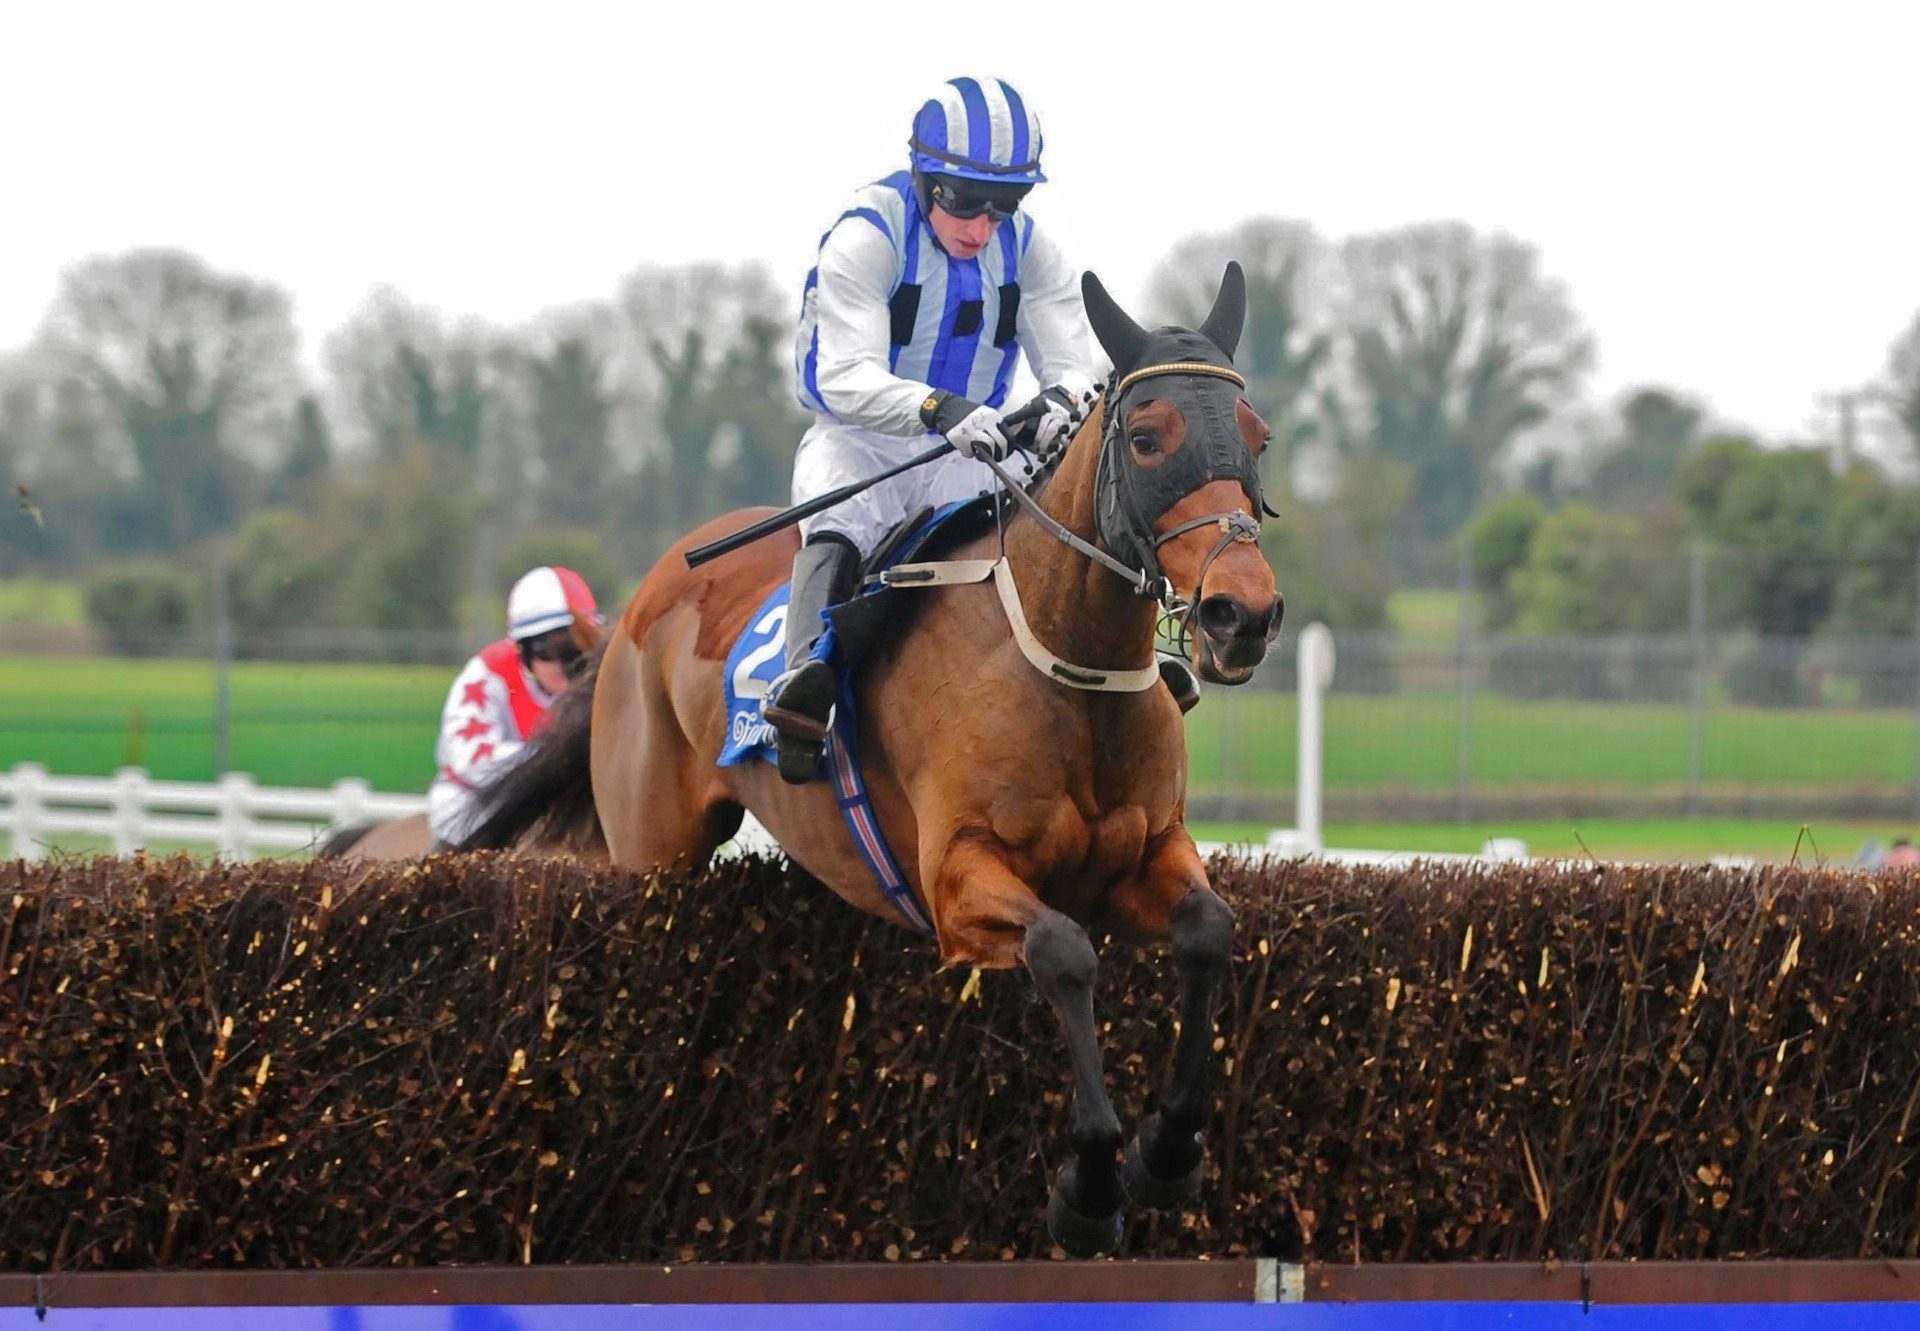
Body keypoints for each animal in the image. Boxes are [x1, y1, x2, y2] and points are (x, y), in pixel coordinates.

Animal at [458, 263, 1282, 1259]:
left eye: (1258, 436)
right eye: (1147, 435)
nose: (1243, 613)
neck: (1060, 656)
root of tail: (640, 602)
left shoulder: (1148, 853)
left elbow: (1209, 930)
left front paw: (1167, 1152)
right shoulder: (957, 881)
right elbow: (1062, 952)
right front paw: (1088, 1184)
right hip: (650, 848)